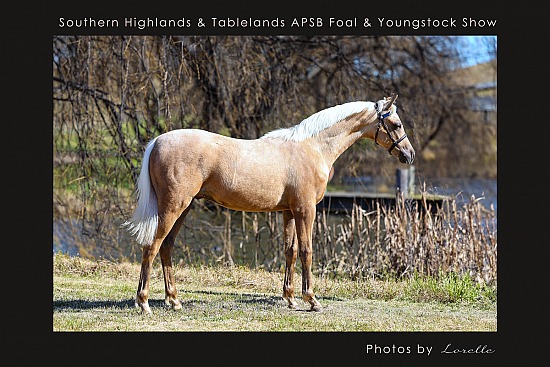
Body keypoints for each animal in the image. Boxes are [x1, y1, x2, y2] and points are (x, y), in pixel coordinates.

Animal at [126, 93, 414, 314]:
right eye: (396, 124)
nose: (409, 155)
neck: (312, 148)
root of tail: (157, 141)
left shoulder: (288, 212)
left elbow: (290, 251)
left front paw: (290, 298)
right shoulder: (305, 210)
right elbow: (307, 251)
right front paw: (312, 300)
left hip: (184, 208)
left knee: (166, 247)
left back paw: (174, 300)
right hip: (173, 207)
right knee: (152, 246)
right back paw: (144, 303)